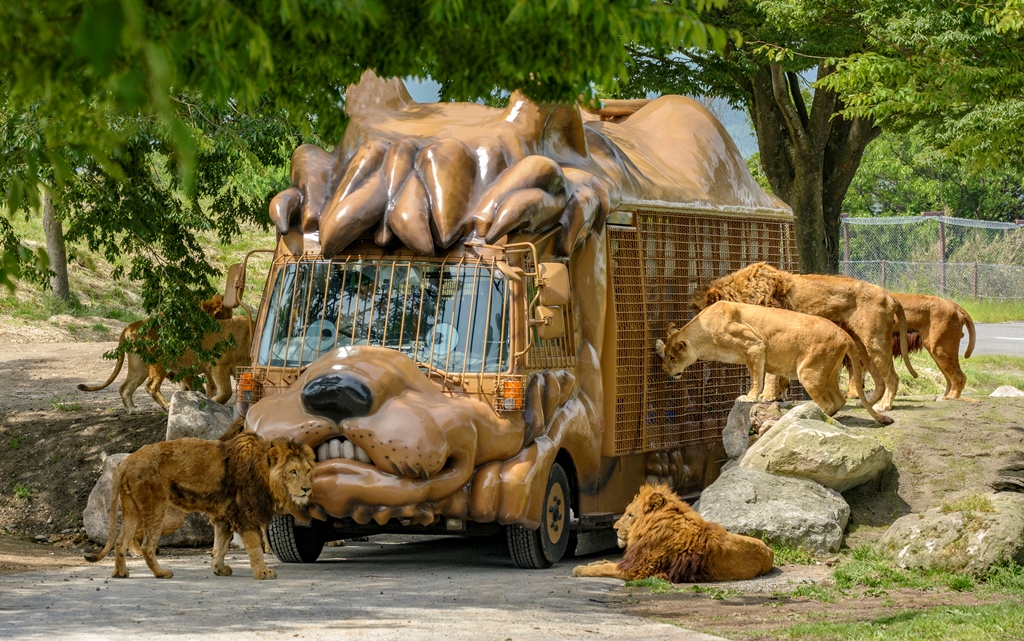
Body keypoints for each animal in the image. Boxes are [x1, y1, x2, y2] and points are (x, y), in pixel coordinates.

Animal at [76, 292, 250, 409]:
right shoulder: (191, 366)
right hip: (159, 361)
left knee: (125, 388)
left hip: (139, 367)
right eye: (228, 314)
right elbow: (200, 386)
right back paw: (166, 405)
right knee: (151, 386)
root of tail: (131, 326)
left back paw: (133, 410)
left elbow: (206, 387)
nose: (230, 324)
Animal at [86, 419, 313, 577]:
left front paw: (219, 569)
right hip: (158, 509)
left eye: (308, 470)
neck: (264, 472)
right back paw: (161, 573)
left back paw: (121, 573)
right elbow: (254, 546)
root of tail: (128, 460)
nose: (307, 489)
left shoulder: (224, 516)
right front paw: (263, 572)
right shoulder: (244, 514)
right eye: (293, 472)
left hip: (132, 507)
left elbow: (220, 546)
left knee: (120, 542)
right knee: (147, 546)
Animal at [573, 481, 770, 581]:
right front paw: (594, 562)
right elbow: (608, 563)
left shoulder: (639, 569)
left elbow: (605, 568)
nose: (614, 528)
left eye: (629, 515)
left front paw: (580, 569)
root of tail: (770, 551)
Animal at [659, 298, 892, 423]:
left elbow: (756, 377)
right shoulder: (759, 353)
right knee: (839, 401)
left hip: (809, 373)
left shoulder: (754, 345)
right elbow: (767, 376)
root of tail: (843, 333)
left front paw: (751, 397)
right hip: (827, 373)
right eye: (664, 356)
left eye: (671, 357)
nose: (663, 370)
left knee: (827, 403)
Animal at [692, 262, 917, 411]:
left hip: (874, 341)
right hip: (862, 345)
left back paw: (884, 406)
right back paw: (867, 404)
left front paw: (766, 396)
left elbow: (769, 374)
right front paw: (780, 395)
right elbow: (779, 373)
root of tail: (890, 294)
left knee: (892, 378)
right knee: (879, 380)